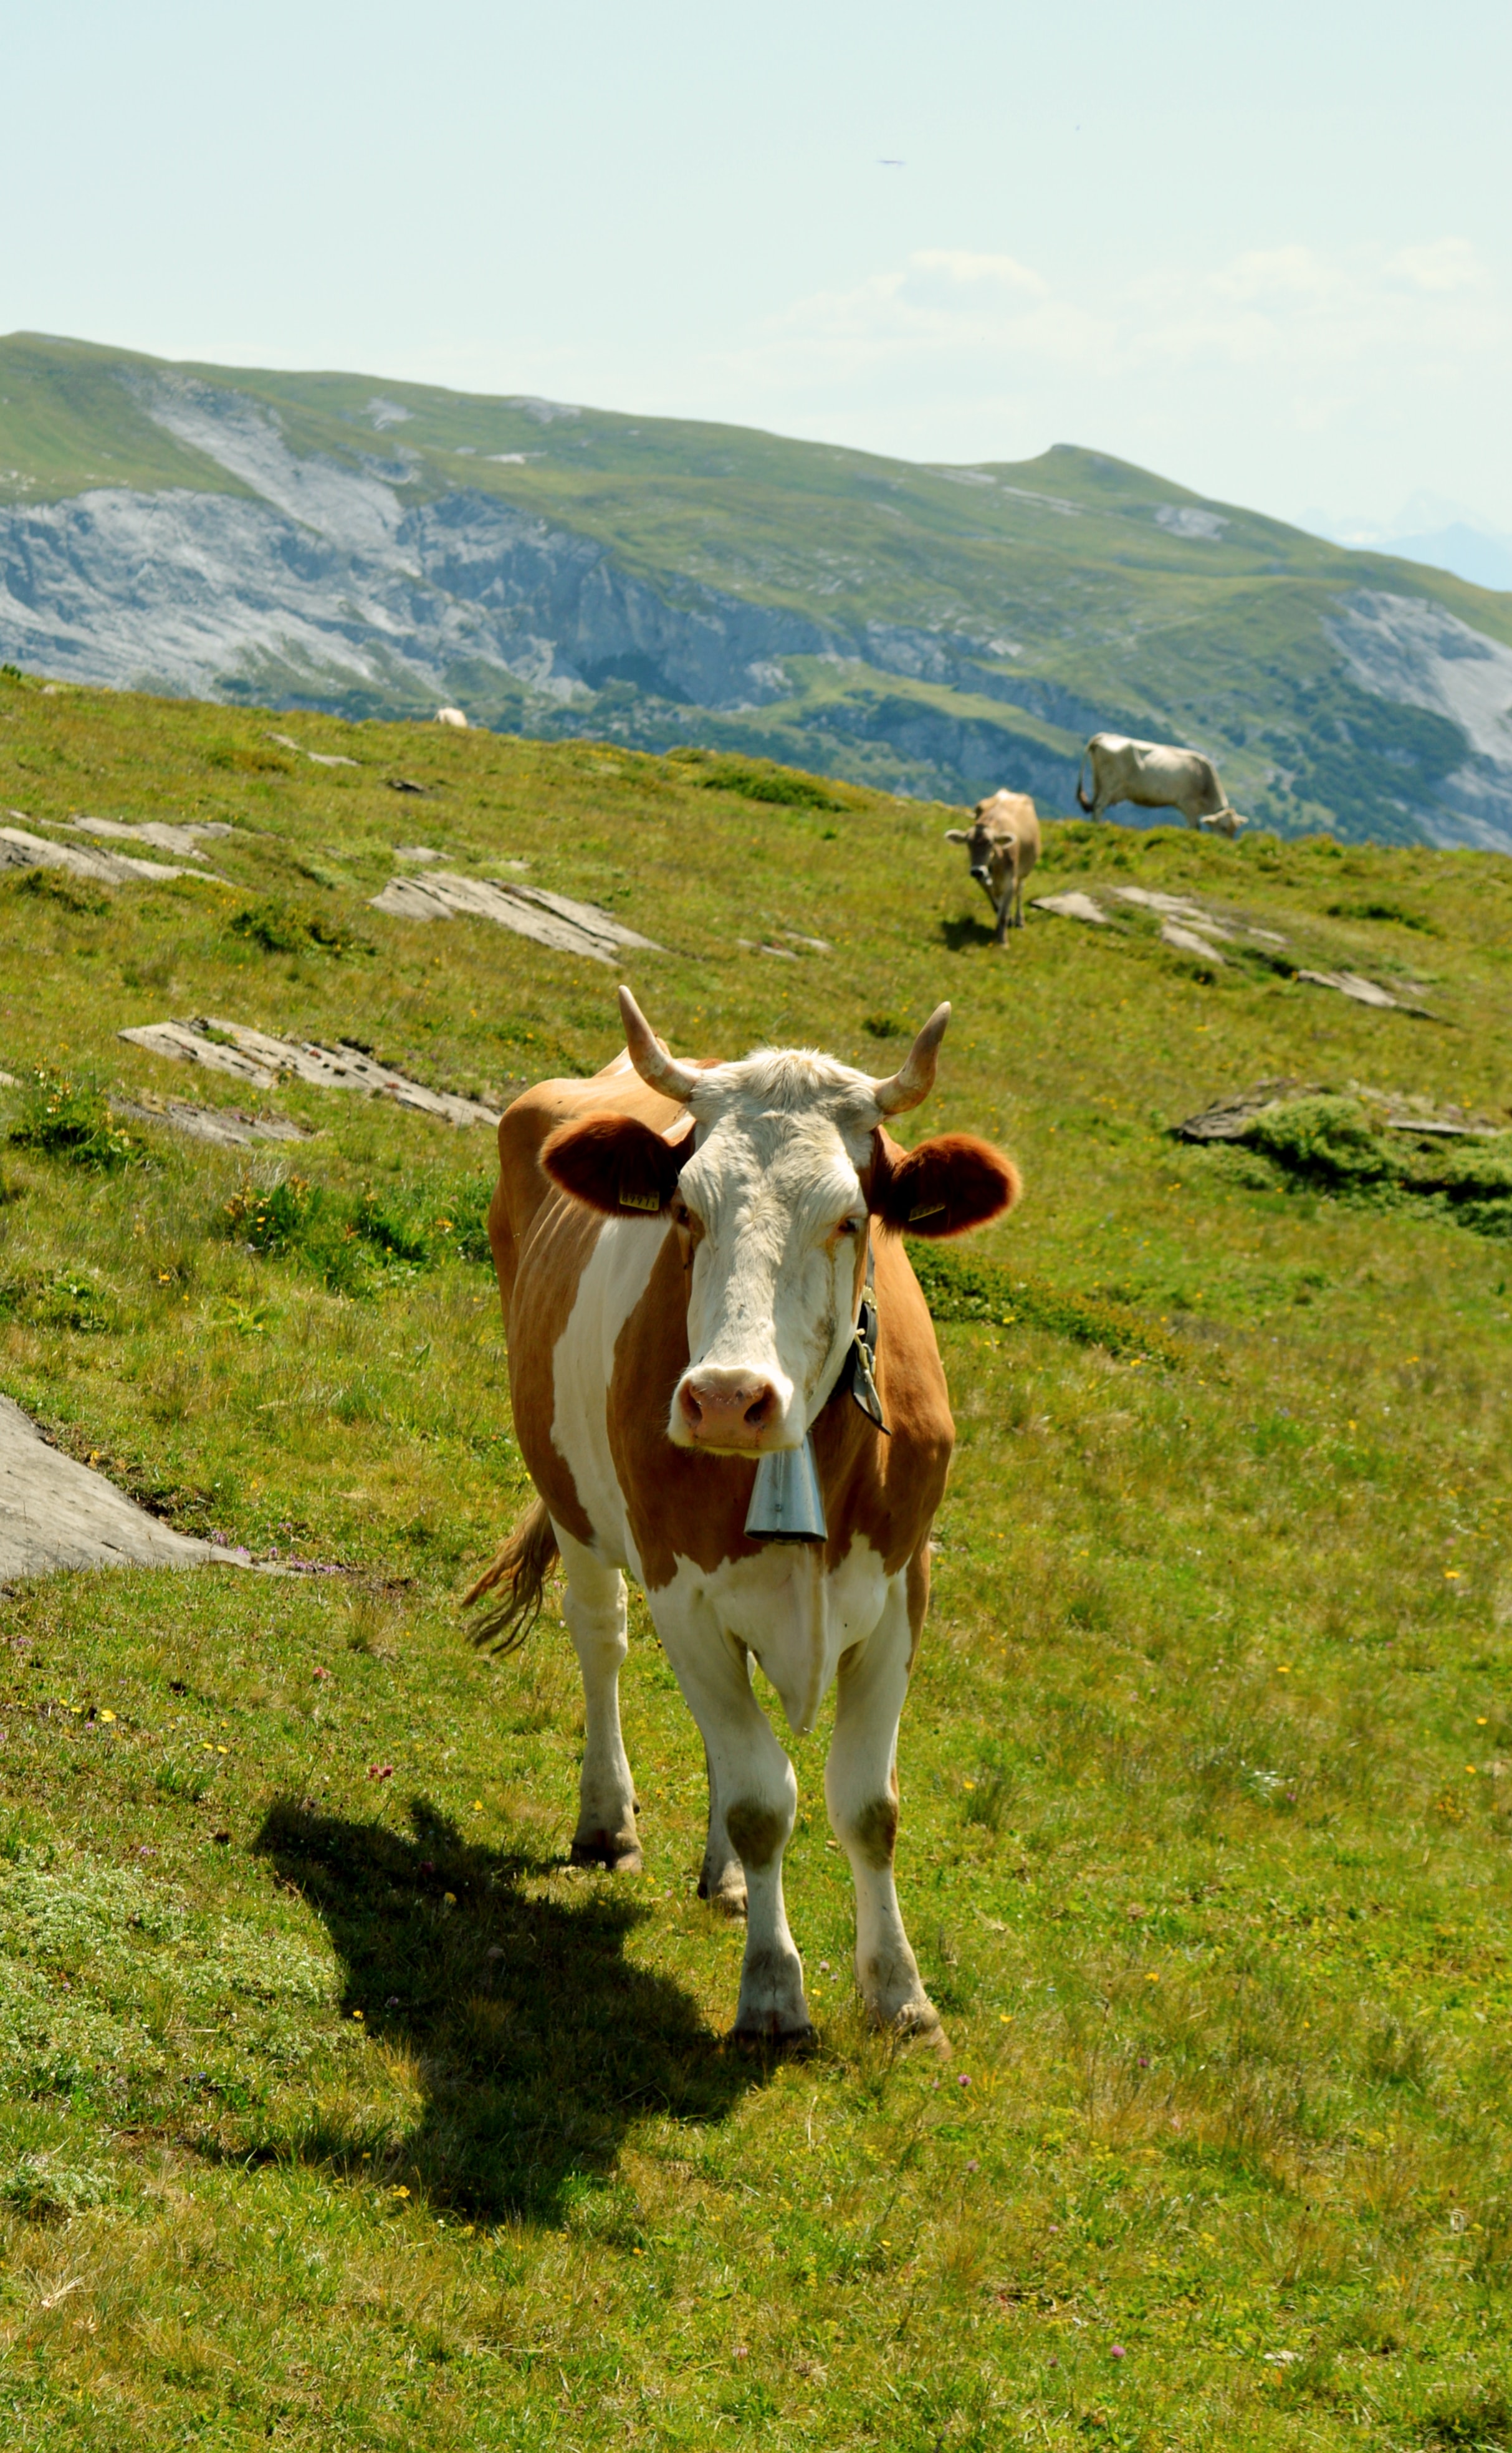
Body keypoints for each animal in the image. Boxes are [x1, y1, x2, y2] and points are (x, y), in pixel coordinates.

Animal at [466, 986, 1021, 2040]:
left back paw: (723, 1879)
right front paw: (772, 1993)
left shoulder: (901, 1591)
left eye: (850, 1218)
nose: (726, 1398)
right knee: (601, 1639)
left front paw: (900, 1996)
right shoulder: (682, 1591)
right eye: (686, 1209)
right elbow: (767, 1800)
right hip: (573, 1501)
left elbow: (866, 1805)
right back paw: (608, 1822)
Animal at [942, 790, 1040, 942]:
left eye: (990, 843)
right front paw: (1000, 928)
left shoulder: (1011, 881)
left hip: (1025, 870)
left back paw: (1020, 921)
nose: (977, 871)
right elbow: (997, 905)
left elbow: (1003, 913)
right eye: (968, 843)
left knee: (1020, 891)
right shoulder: (984, 881)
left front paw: (1002, 940)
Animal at [1074, 730, 1251, 839]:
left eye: (1235, 830)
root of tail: (1104, 736)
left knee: (1095, 806)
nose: (1226, 845)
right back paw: (1099, 828)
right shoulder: (1188, 804)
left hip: (1099, 783)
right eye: (1223, 828)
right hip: (1110, 785)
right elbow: (1194, 827)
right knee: (1099, 807)